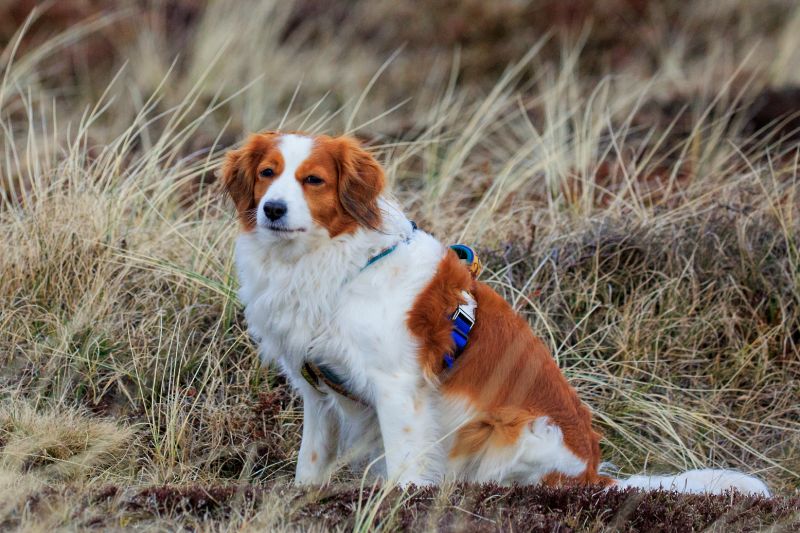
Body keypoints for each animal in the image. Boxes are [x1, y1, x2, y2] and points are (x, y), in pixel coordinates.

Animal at [222, 130, 772, 494]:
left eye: (313, 180)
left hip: (511, 429)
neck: (333, 263)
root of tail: (595, 478)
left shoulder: (397, 388)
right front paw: (301, 499)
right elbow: (310, 463)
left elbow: (405, 470)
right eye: (268, 174)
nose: (273, 209)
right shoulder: (317, 390)